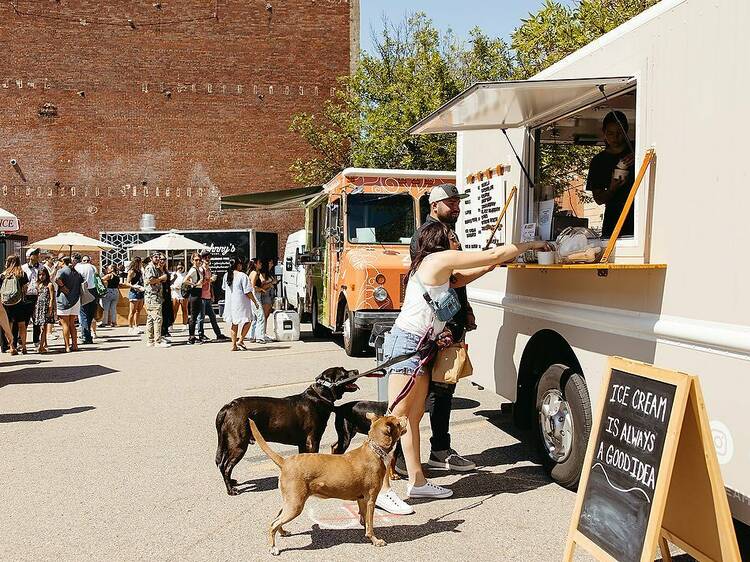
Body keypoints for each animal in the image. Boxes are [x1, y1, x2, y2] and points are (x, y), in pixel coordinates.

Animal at [216, 368, 360, 494]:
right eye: (344, 372)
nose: (357, 370)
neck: (319, 396)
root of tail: (228, 407)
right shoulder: (313, 440)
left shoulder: (303, 443)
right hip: (238, 444)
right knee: (226, 466)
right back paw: (231, 490)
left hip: (228, 442)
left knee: (223, 464)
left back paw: (232, 482)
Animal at [250, 412, 408, 556]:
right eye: (397, 421)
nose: (406, 416)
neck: (375, 451)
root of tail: (285, 461)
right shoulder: (371, 499)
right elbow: (370, 524)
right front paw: (375, 540)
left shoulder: (361, 499)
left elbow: (364, 518)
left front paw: (364, 528)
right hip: (295, 505)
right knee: (273, 524)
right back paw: (273, 548)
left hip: (291, 500)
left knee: (278, 517)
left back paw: (283, 532)